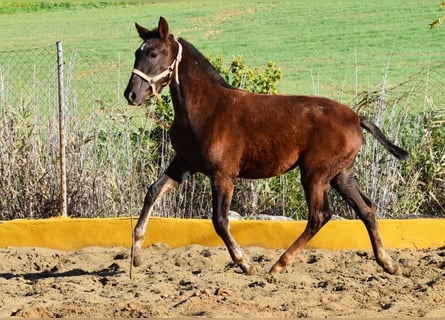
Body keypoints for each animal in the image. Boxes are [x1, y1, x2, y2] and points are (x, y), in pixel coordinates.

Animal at [123, 16, 408, 276]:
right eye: (137, 52)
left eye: (153, 53)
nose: (131, 94)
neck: (206, 110)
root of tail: (356, 118)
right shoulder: (183, 163)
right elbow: (152, 191)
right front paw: (136, 254)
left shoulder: (223, 175)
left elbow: (220, 221)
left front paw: (245, 264)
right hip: (341, 174)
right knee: (366, 209)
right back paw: (387, 263)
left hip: (315, 174)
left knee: (320, 215)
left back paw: (279, 264)